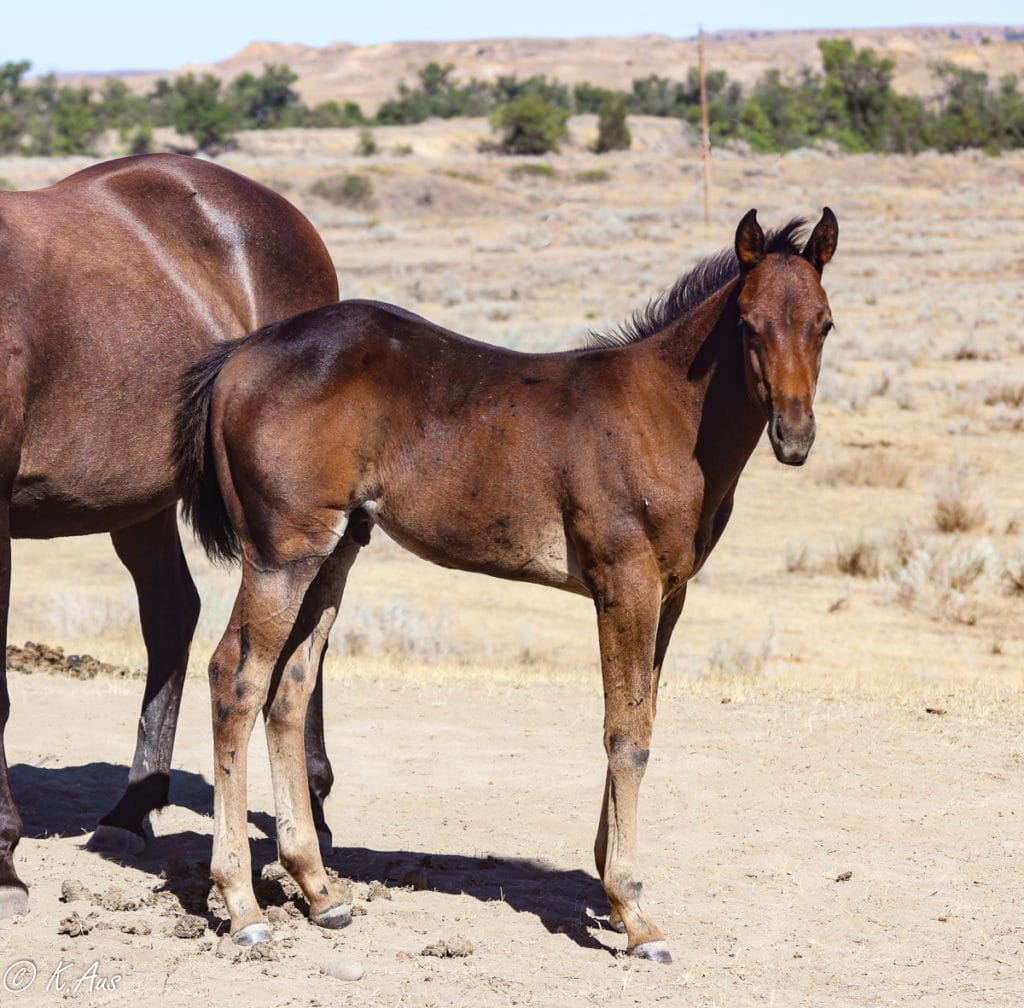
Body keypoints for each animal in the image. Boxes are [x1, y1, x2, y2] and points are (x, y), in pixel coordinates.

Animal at [172, 206, 835, 958]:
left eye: (824, 323)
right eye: (749, 324)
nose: (794, 435)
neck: (663, 414)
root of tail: (239, 355)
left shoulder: (670, 594)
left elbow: (642, 719)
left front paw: (612, 889)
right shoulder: (625, 585)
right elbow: (626, 735)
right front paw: (633, 911)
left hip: (335, 552)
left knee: (288, 690)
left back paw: (320, 891)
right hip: (281, 553)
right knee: (236, 679)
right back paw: (242, 904)